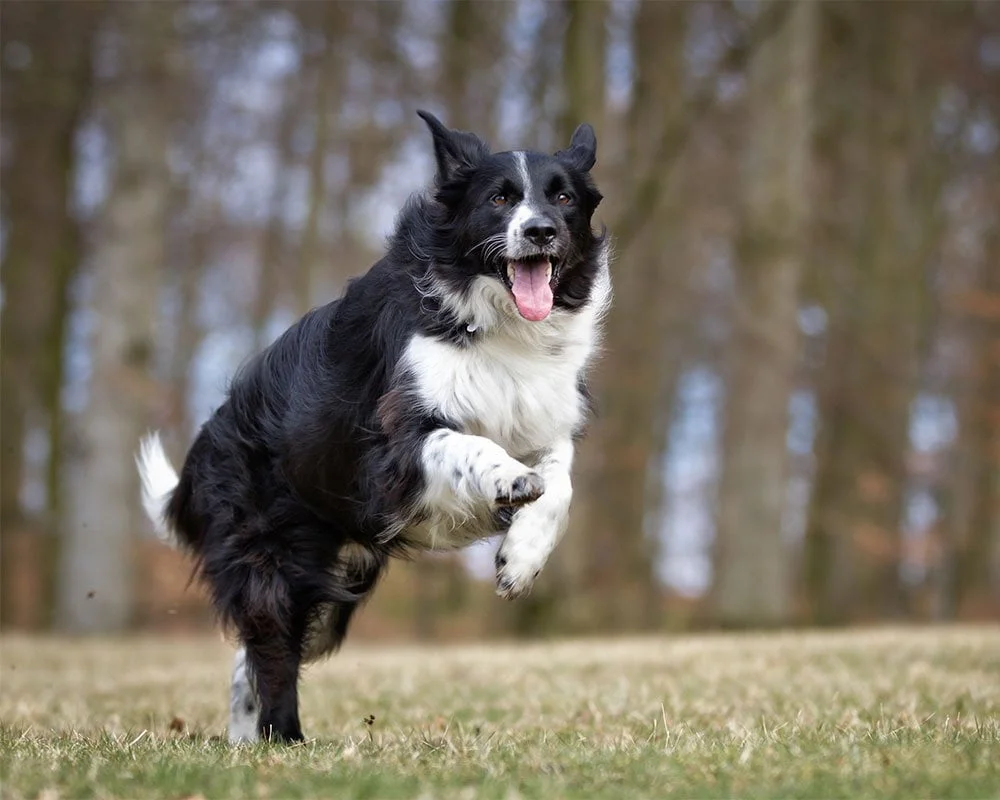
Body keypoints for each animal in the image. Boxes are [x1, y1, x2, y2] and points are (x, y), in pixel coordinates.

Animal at [135, 109, 608, 740]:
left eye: (563, 197)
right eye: (500, 198)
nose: (540, 232)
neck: (499, 323)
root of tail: (207, 441)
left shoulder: (544, 417)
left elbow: (561, 481)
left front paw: (522, 557)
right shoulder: (395, 445)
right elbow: (468, 445)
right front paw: (509, 481)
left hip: (336, 581)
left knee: (251, 659)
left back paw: (244, 740)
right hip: (275, 558)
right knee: (270, 651)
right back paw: (283, 739)